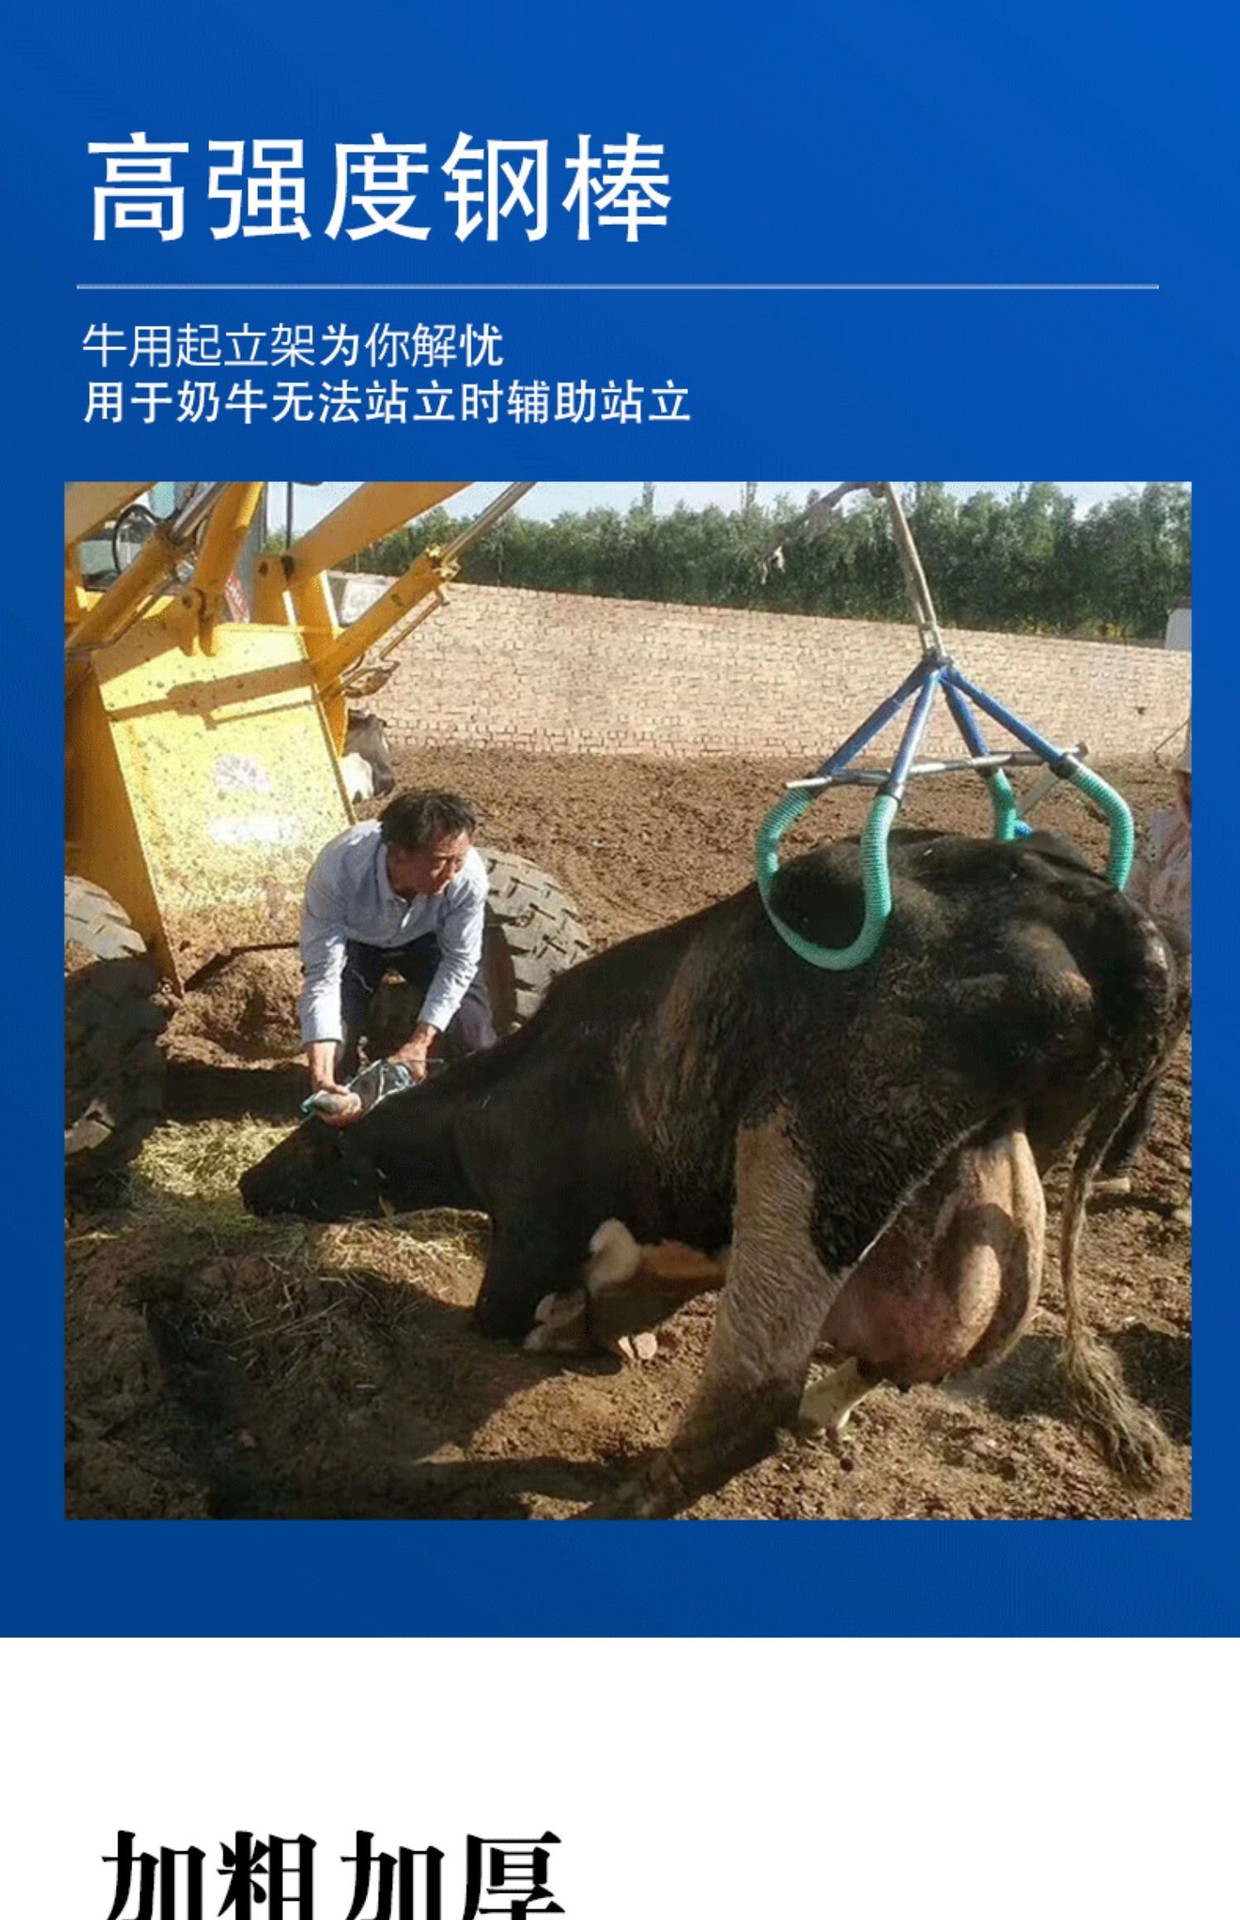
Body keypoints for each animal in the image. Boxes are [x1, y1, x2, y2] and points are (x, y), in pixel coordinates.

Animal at [241, 827, 1189, 1519]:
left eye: (312, 1146)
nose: (249, 1185)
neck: (500, 1100)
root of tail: (1088, 904)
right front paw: (614, 1332)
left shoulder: (531, 1233)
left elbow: (507, 1318)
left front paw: (571, 1331)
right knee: (908, 1354)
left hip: (809, 1158)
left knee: (751, 1400)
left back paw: (629, 1500)